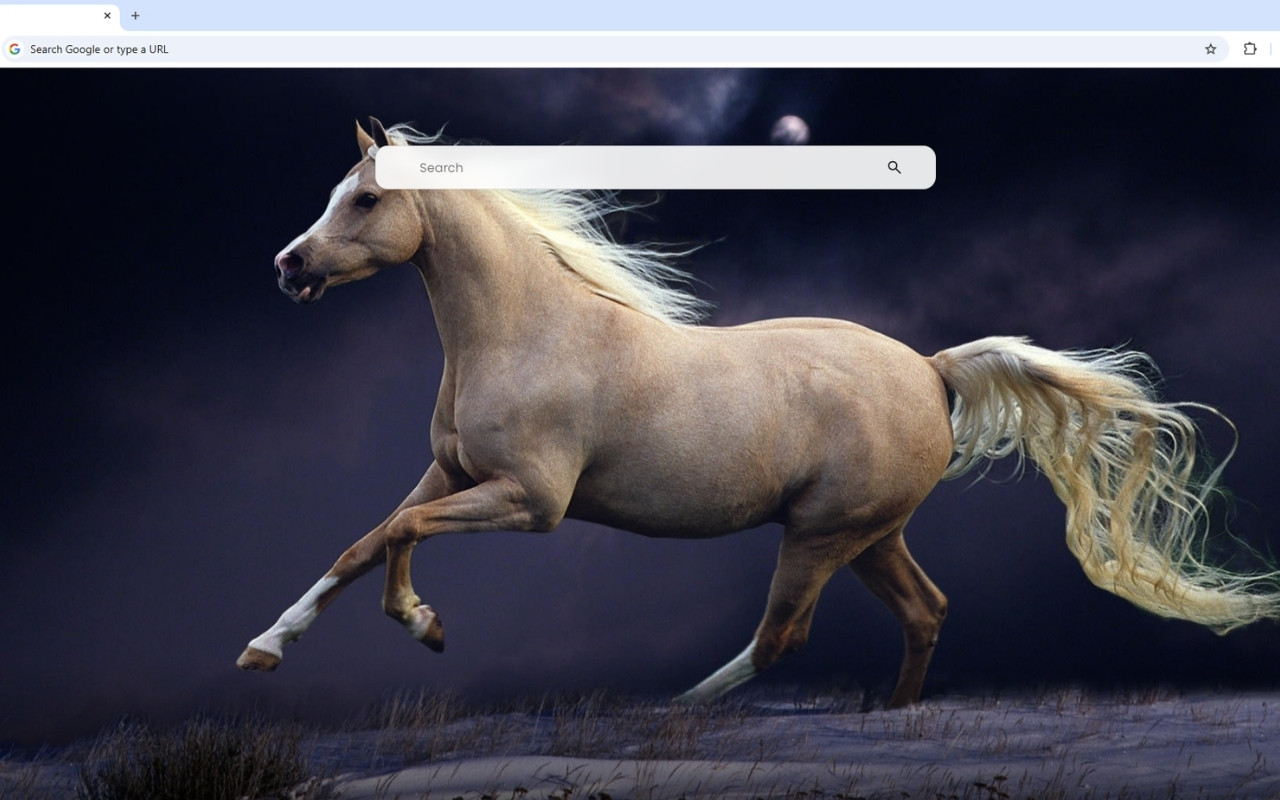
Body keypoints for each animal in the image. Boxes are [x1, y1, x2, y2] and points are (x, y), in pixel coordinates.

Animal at [237, 118, 1280, 708]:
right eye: (336, 193)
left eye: (366, 200)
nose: (288, 267)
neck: (529, 332)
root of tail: (931, 369)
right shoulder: (451, 473)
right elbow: (363, 541)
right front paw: (264, 648)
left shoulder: (529, 501)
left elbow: (400, 537)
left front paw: (425, 626)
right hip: (870, 533)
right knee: (927, 610)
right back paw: (888, 716)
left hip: (822, 534)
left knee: (785, 636)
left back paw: (674, 712)